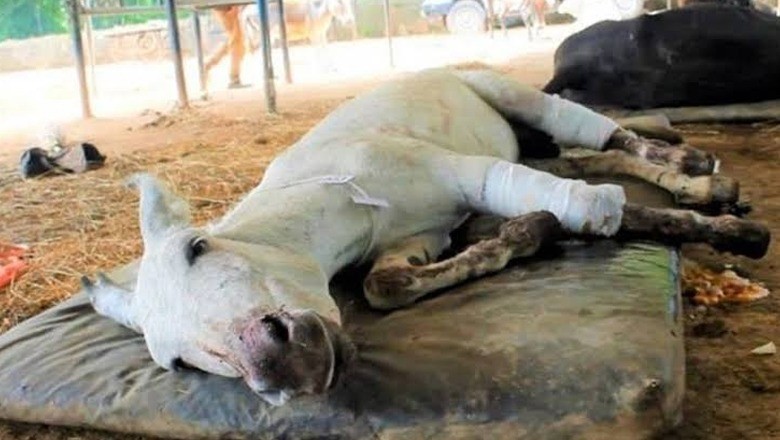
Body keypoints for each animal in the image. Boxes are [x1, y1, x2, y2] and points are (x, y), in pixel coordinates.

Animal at [81, 68, 769, 406]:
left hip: (514, 99)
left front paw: (739, 235)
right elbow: (387, 287)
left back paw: (696, 170)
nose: (283, 364)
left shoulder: (471, 176)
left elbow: (603, 211)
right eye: (175, 363)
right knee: (594, 157)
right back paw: (692, 178)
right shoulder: (413, 242)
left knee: (601, 136)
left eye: (198, 247)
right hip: (531, 144)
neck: (344, 201)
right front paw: (528, 234)